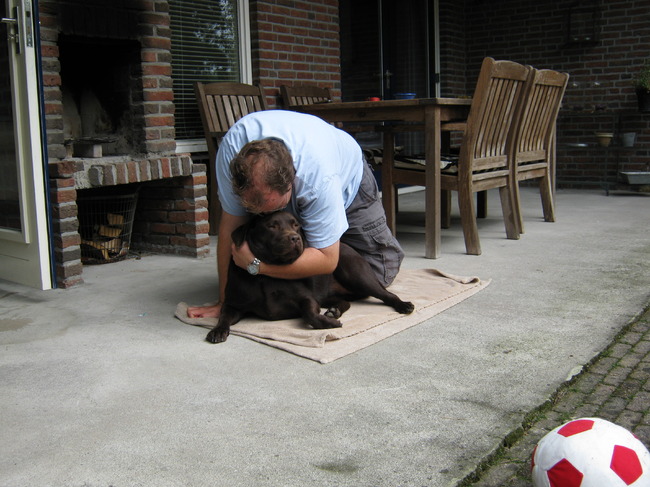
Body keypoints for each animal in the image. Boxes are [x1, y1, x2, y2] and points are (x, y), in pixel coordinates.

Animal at [206, 211, 414, 343]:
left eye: (296, 225)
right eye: (272, 226)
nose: (295, 238)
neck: (265, 275)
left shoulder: (307, 298)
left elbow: (309, 314)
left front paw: (328, 324)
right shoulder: (234, 304)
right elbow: (223, 316)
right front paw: (217, 330)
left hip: (356, 274)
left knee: (386, 294)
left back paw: (403, 305)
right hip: (330, 292)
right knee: (344, 301)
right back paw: (334, 311)